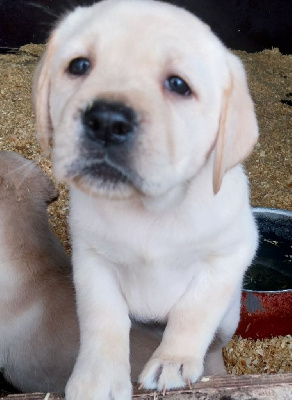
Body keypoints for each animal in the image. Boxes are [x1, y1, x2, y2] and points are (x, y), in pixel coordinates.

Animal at [33, 1, 258, 398]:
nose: (107, 121)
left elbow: (193, 312)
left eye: (178, 84)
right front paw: (98, 378)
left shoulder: (230, 255)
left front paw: (173, 361)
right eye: (79, 65)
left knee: (215, 340)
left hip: (230, 317)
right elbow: (102, 320)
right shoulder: (92, 259)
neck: (148, 210)